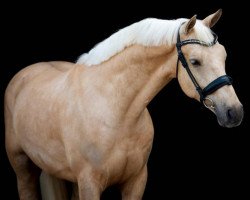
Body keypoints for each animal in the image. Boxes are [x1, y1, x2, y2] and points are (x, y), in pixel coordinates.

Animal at [4, 9, 244, 200]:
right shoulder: (90, 184)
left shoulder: (136, 181)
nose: (234, 112)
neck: (116, 110)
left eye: (223, 55)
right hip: (22, 167)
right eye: (195, 61)